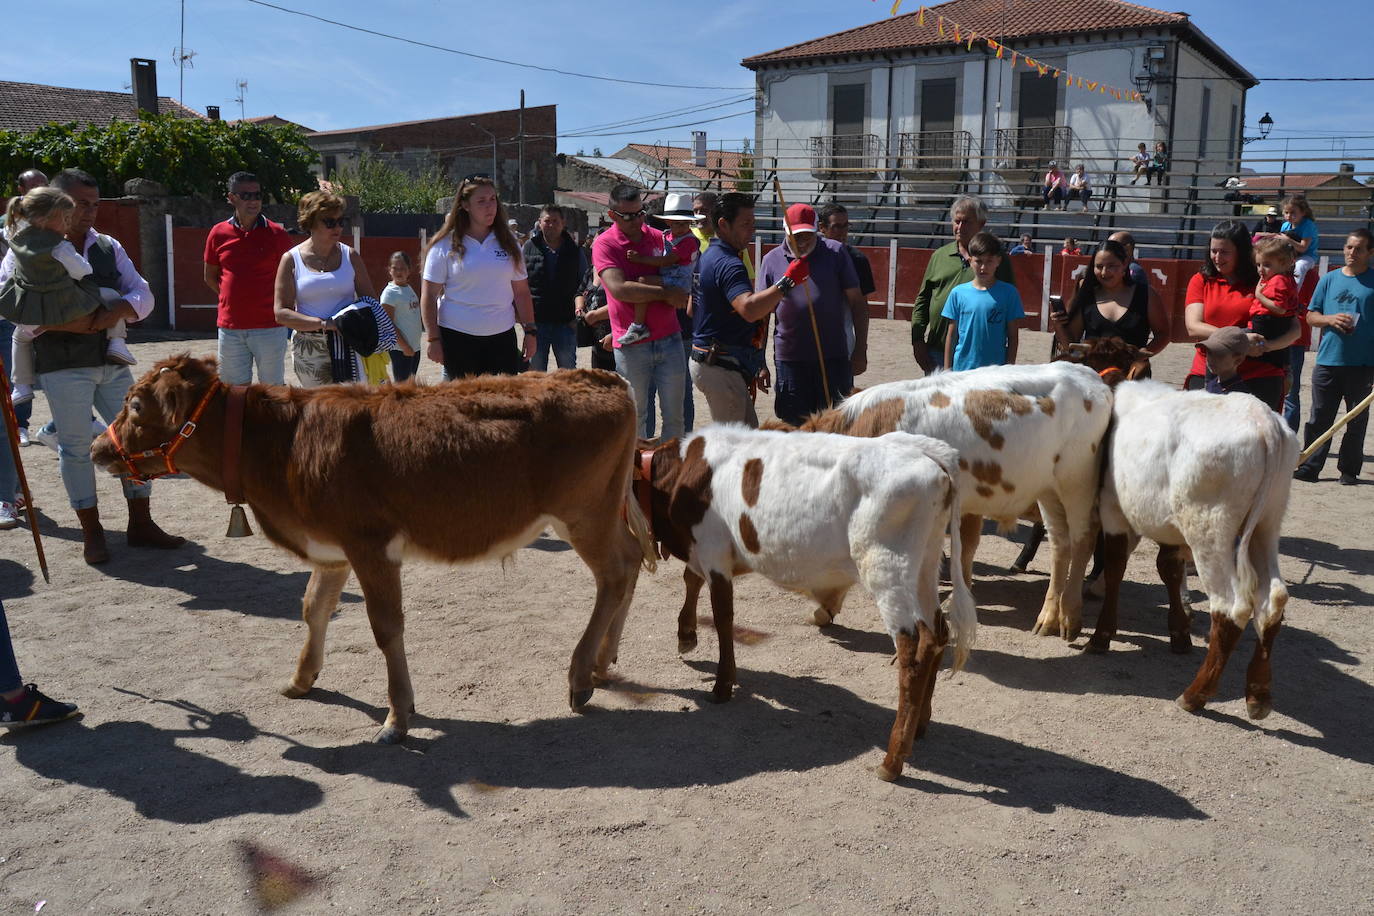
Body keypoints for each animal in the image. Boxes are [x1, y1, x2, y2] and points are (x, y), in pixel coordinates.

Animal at [91, 357, 654, 747]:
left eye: (136, 405)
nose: (98, 449)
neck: (282, 446)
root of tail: (600, 375)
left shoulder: (370, 546)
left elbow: (385, 628)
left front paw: (396, 718)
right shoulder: (333, 550)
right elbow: (313, 608)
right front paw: (301, 678)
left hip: (584, 513)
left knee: (614, 573)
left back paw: (580, 676)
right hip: (602, 513)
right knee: (629, 565)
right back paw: (602, 663)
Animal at [643, 428, 978, 780]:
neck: (688, 468)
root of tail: (928, 452)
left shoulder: (713, 552)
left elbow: (723, 617)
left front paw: (722, 685)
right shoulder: (705, 553)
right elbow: (691, 580)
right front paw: (686, 635)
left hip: (887, 569)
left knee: (913, 651)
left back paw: (892, 760)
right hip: (925, 567)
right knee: (938, 635)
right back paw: (920, 725)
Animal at [802, 362, 1110, 642]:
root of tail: (1090, 376)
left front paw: (826, 609)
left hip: (1077, 483)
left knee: (1083, 540)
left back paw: (1070, 616)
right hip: (1048, 488)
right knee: (1060, 543)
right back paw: (1049, 617)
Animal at [1082, 379, 1297, 714]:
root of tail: (1262, 419)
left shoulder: (1112, 510)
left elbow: (1116, 566)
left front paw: (1101, 636)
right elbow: (1169, 569)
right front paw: (1180, 632)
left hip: (1209, 528)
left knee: (1231, 607)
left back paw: (1195, 694)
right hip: (1267, 522)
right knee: (1273, 599)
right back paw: (1258, 693)